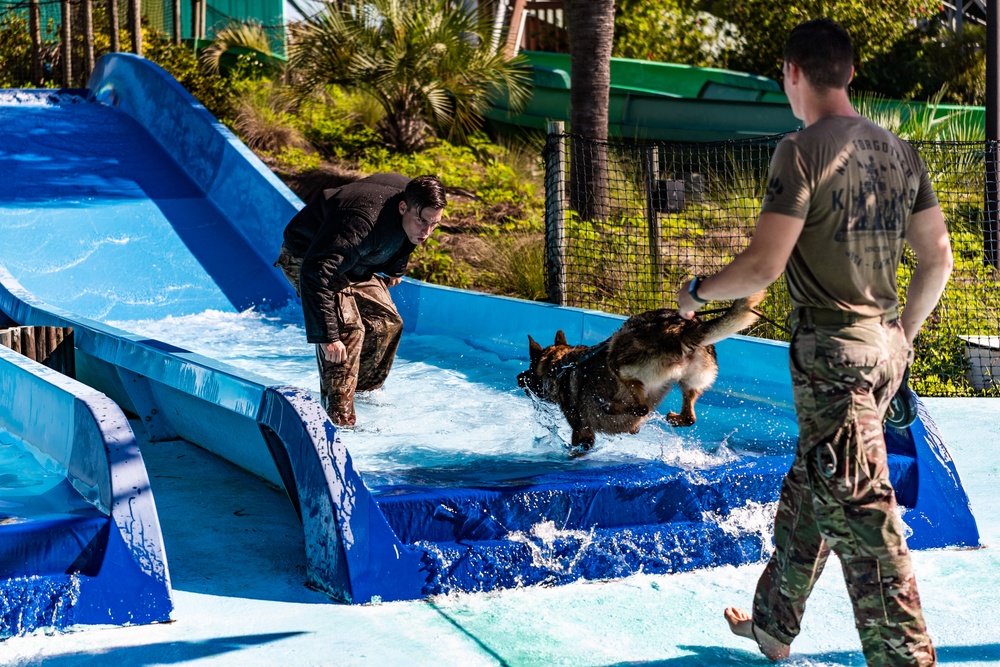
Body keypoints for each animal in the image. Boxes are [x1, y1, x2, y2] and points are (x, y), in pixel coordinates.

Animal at [520, 294, 760, 456]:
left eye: (530, 371)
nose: (518, 378)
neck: (562, 366)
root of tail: (682, 328)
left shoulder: (583, 433)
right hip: (689, 383)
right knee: (688, 417)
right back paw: (673, 418)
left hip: (617, 358)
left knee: (642, 406)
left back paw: (612, 406)